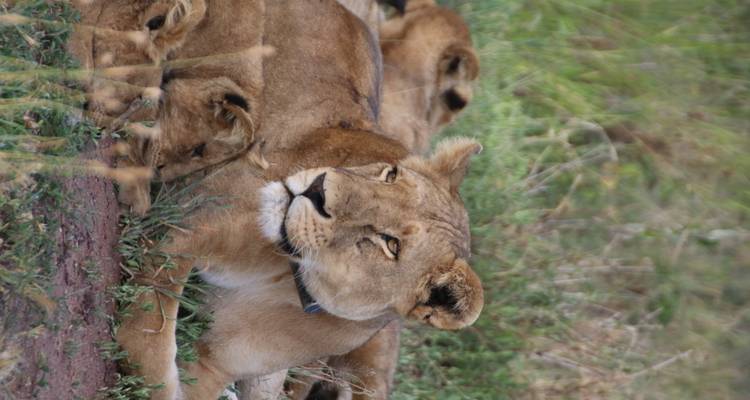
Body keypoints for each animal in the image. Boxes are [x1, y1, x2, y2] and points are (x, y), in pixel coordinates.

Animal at [114, 1, 484, 400]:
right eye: (390, 174)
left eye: (390, 244)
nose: (318, 188)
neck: (286, 275)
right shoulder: (184, 229)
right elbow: (148, 341)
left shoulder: (216, 361)